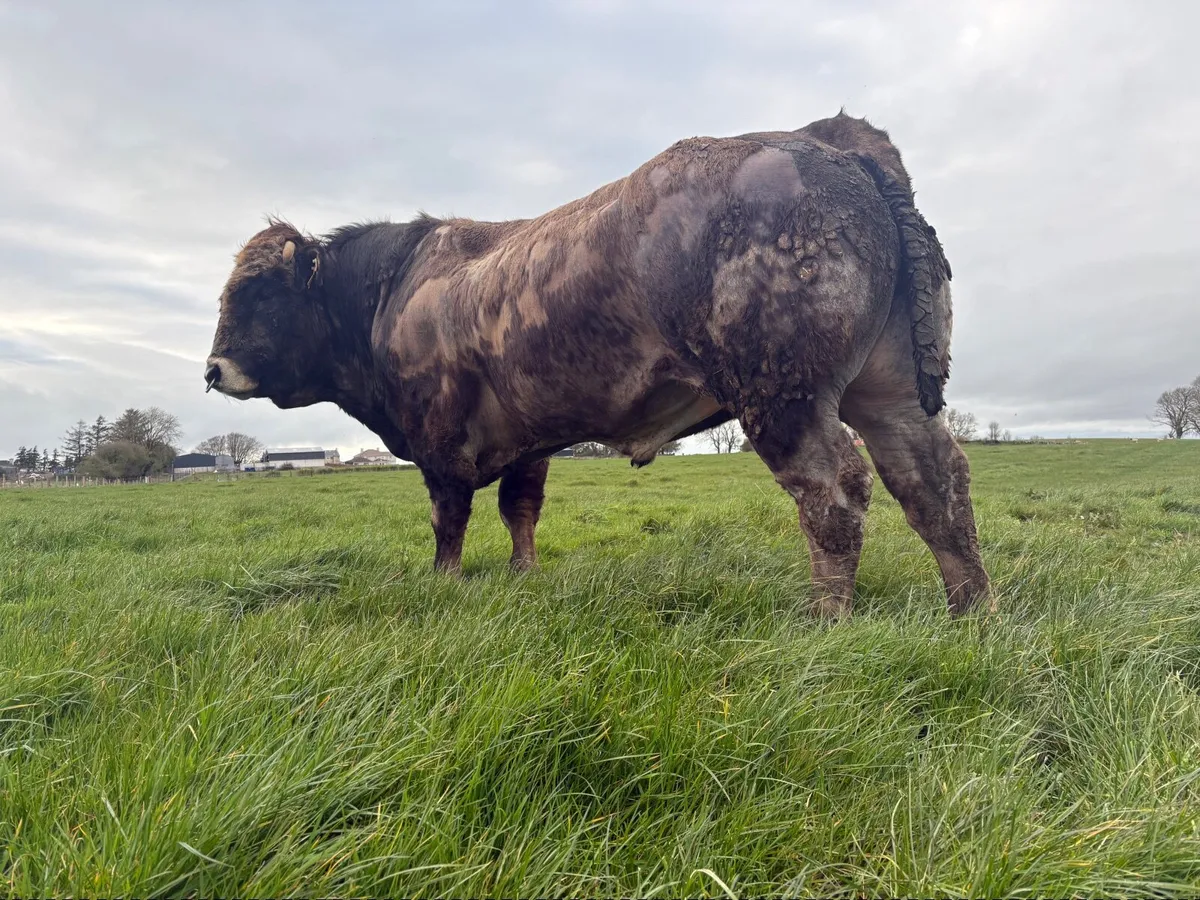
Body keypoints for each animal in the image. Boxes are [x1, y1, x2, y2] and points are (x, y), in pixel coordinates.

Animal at [204, 111, 990, 618]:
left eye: (258, 293)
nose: (212, 369)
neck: (393, 290)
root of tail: (825, 139)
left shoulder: (440, 437)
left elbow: (448, 519)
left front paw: (445, 584)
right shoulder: (526, 441)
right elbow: (519, 510)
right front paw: (523, 576)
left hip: (782, 392)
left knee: (834, 491)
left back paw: (827, 618)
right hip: (886, 393)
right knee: (934, 482)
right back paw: (971, 610)